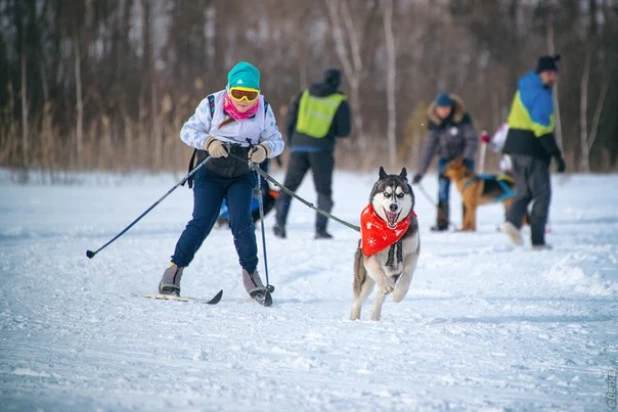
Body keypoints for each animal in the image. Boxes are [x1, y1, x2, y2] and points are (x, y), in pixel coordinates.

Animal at [352, 167, 418, 322]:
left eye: (400, 194)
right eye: (386, 194)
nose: (393, 206)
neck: (391, 232)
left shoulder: (412, 252)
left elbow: (407, 273)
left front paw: (399, 294)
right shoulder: (370, 254)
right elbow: (377, 269)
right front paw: (385, 285)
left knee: (379, 296)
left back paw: (375, 313)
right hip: (364, 278)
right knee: (358, 299)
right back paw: (354, 318)